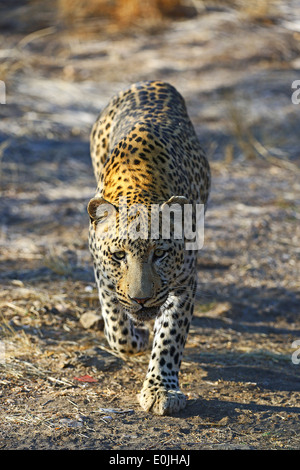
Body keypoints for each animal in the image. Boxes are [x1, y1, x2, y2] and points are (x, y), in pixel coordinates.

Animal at [86, 81, 210, 414]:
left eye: (160, 253)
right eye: (119, 256)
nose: (141, 300)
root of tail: (150, 82)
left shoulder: (184, 281)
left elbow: (170, 336)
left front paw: (161, 390)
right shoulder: (103, 272)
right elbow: (116, 328)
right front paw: (136, 340)